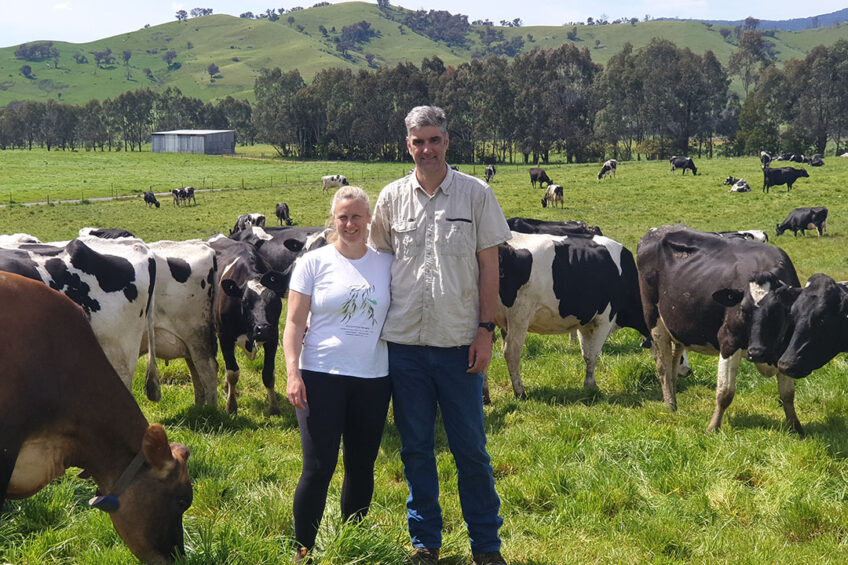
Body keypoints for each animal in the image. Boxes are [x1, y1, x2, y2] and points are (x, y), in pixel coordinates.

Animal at [205, 234, 288, 414]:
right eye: (245, 301)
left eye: (274, 301)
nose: (263, 329)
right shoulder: (225, 337)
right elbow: (233, 372)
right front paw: (231, 406)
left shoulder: (273, 337)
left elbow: (268, 373)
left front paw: (274, 407)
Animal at [490, 231, 648, 404]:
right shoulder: (605, 319)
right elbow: (594, 354)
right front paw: (591, 386)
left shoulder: (585, 323)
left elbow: (586, 354)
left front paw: (589, 384)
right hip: (519, 316)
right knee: (511, 352)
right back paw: (520, 392)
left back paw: (486, 396)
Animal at [640, 224, 804, 432]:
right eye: (742, 309)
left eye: (778, 311)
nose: (756, 352)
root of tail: (658, 230)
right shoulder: (728, 341)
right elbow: (725, 392)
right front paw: (713, 427)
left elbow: (788, 394)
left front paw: (795, 427)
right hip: (654, 319)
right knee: (663, 366)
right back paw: (669, 404)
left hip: (678, 323)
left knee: (674, 361)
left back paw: (674, 402)